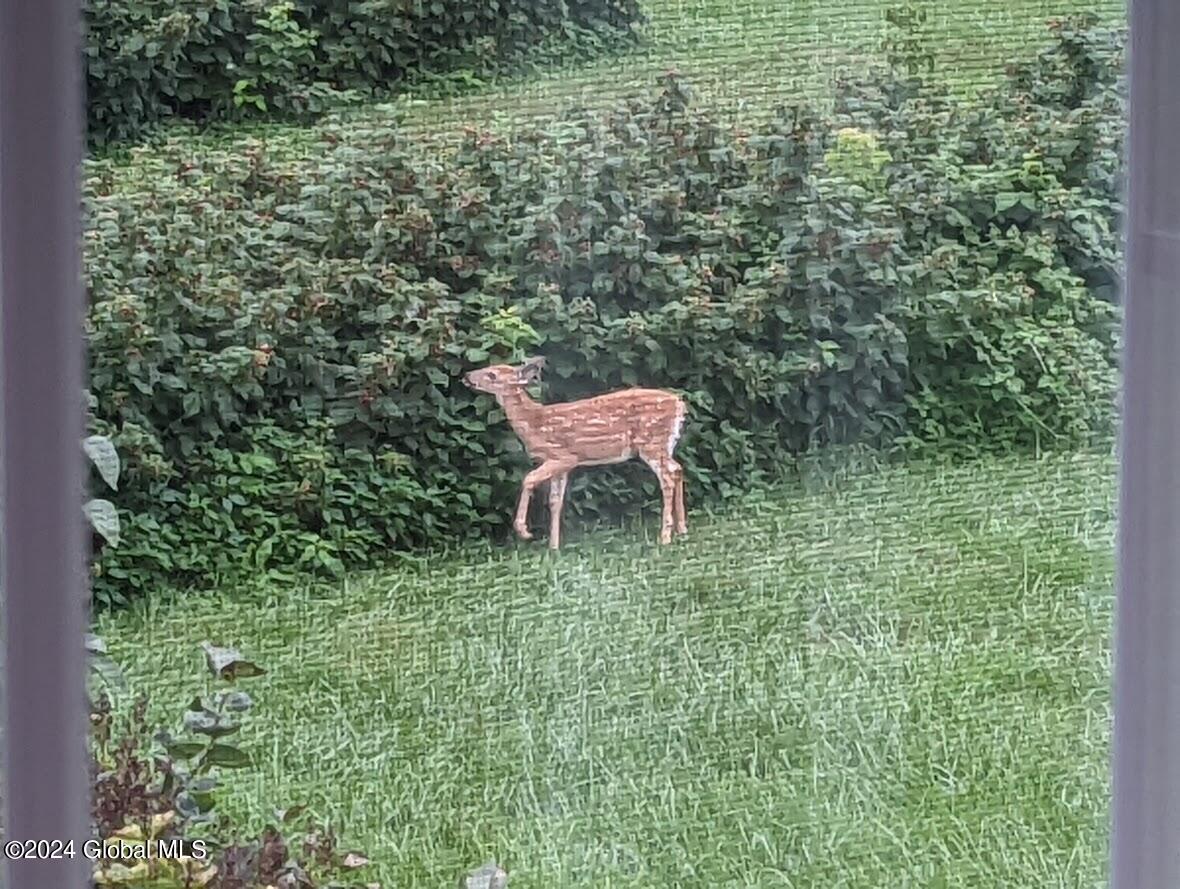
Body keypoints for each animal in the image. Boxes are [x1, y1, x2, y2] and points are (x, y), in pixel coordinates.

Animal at [463, 357, 688, 550]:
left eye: (492, 374)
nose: (467, 375)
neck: (534, 422)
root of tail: (679, 404)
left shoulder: (563, 456)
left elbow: (528, 479)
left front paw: (524, 531)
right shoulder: (561, 466)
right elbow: (555, 501)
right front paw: (553, 547)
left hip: (651, 441)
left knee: (667, 478)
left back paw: (665, 536)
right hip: (663, 444)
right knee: (677, 468)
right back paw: (682, 529)